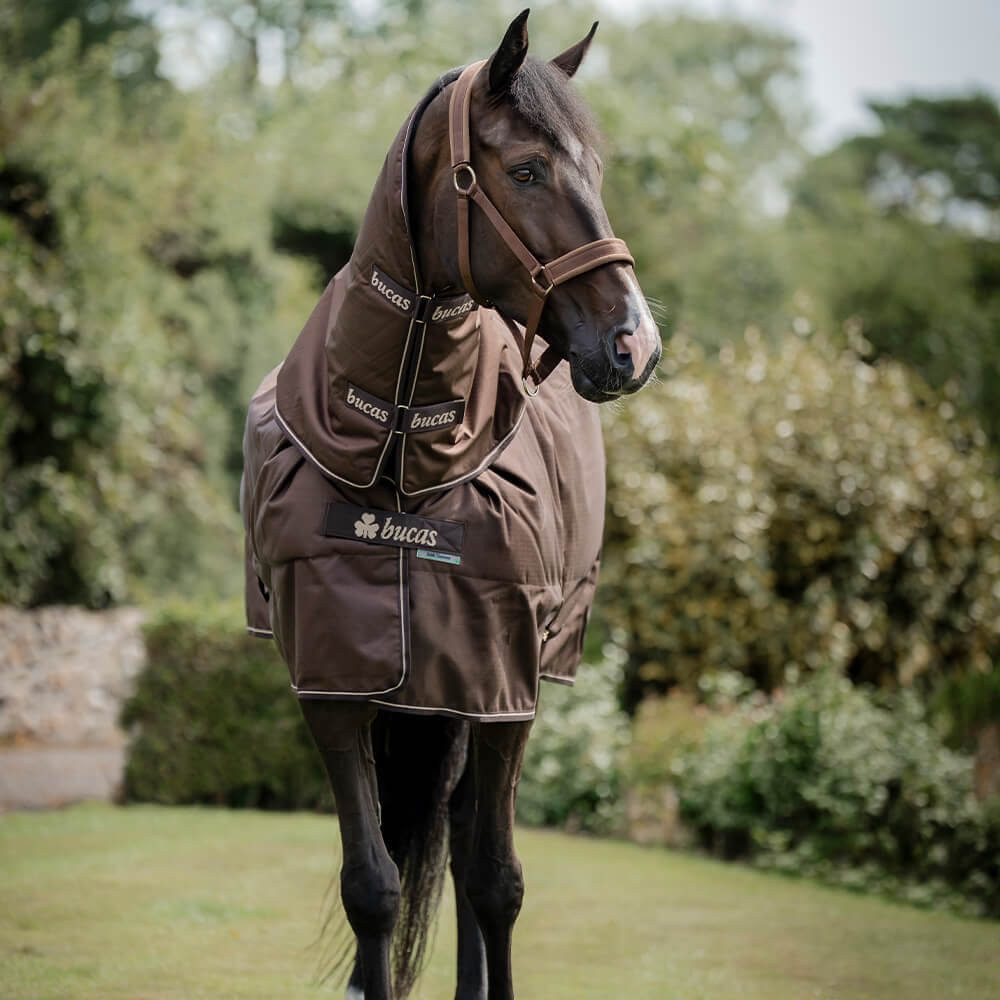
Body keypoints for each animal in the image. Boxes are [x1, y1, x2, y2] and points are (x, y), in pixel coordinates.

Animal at [241, 10, 660, 999]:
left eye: (595, 169)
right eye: (528, 170)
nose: (636, 343)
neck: (401, 452)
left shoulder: (502, 685)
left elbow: (496, 879)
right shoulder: (331, 682)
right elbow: (373, 888)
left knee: (471, 849)